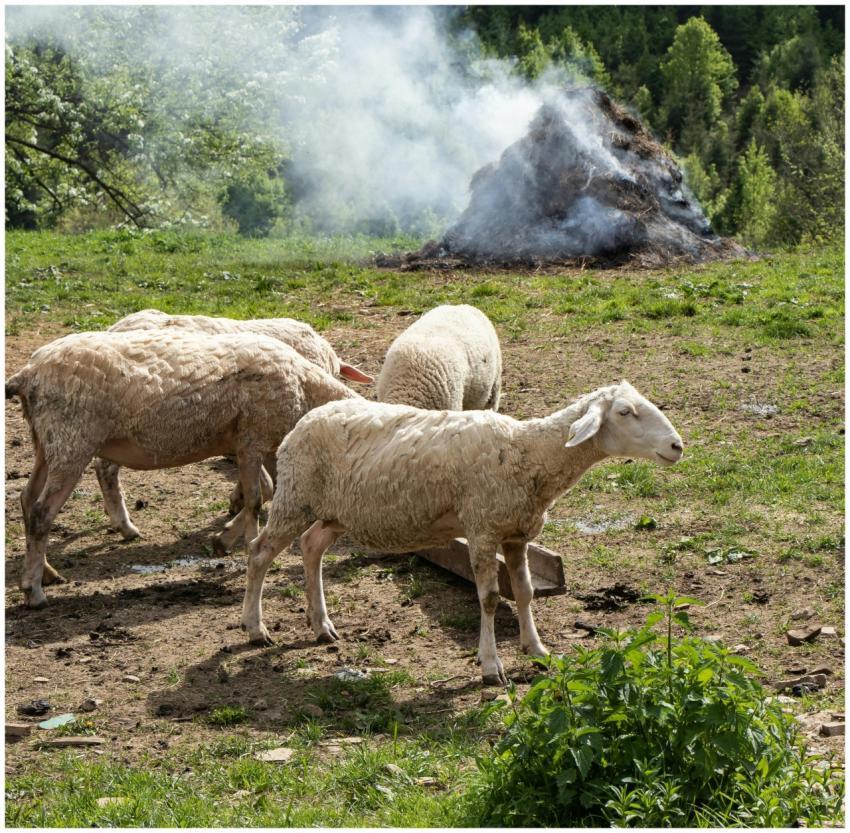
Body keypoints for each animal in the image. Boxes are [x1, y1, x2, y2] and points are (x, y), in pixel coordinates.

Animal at [6, 329, 362, 609]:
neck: (305, 389)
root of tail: (27, 373)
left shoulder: (270, 444)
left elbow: (268, 493)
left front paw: (224, 539)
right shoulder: (252, 438)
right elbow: (254, 500)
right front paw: (248, 545)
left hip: (46, 442)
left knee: (27, 500)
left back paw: (47, 573)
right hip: (71, 440)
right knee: (41, 512)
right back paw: (34, 591)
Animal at [240, 380, 683, 685]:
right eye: (625, 412)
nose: (678, 446)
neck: (528, 452)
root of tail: (304, 421)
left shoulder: (515, 532)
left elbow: (525, 592)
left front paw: (537, 649)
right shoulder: (483, 528)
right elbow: (488, 598)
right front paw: (491, 666)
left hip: (335, 513)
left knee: (311, 546)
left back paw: (321, 626)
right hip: (295, 496)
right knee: (259, 552)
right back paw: (255, 628)